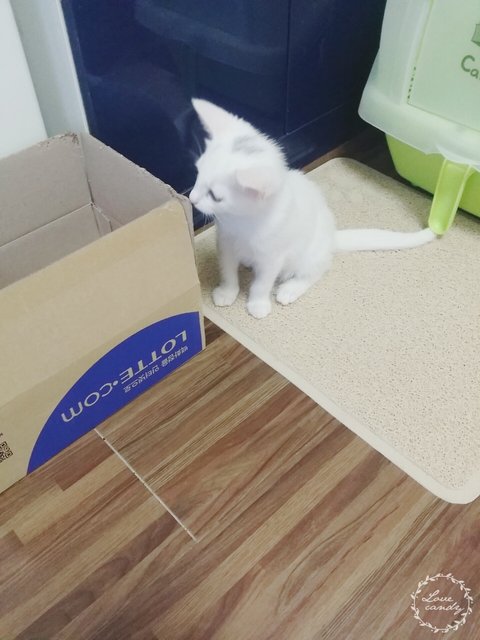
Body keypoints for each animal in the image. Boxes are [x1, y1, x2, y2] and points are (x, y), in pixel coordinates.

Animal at [190, 99, 436, 319]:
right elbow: (227, 270)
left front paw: (258, 303)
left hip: (309, 254)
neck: (241, 222)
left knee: (315, 272)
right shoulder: (225, 243)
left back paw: (290, 289)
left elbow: (262, 283)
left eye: (215, 196)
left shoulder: (273, 257)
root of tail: (332, 237)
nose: (191, 199)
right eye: (198, 174)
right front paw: (227, 292)